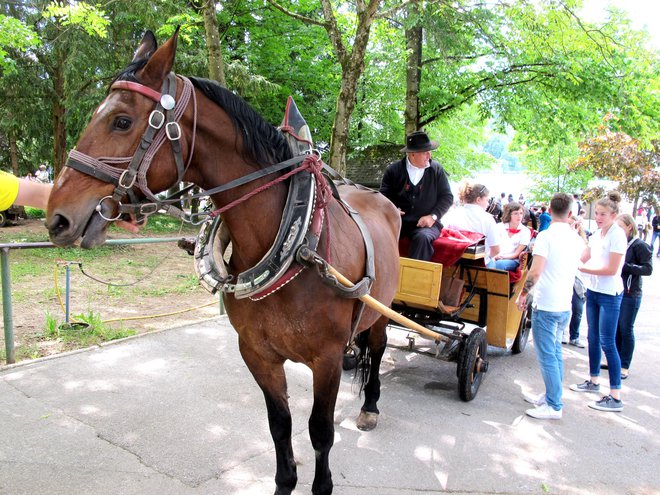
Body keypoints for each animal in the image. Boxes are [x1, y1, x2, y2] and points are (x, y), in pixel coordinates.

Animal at [47, 30, 398, 495]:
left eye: (121, 121)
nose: (57, 217)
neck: (298, 241)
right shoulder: (257, 354)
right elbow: (280, 426)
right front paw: (284, 482)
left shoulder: (324, 360)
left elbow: (321, 432)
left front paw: (320, 484)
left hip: (381, 312)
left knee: (377, 350)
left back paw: (371, 404)